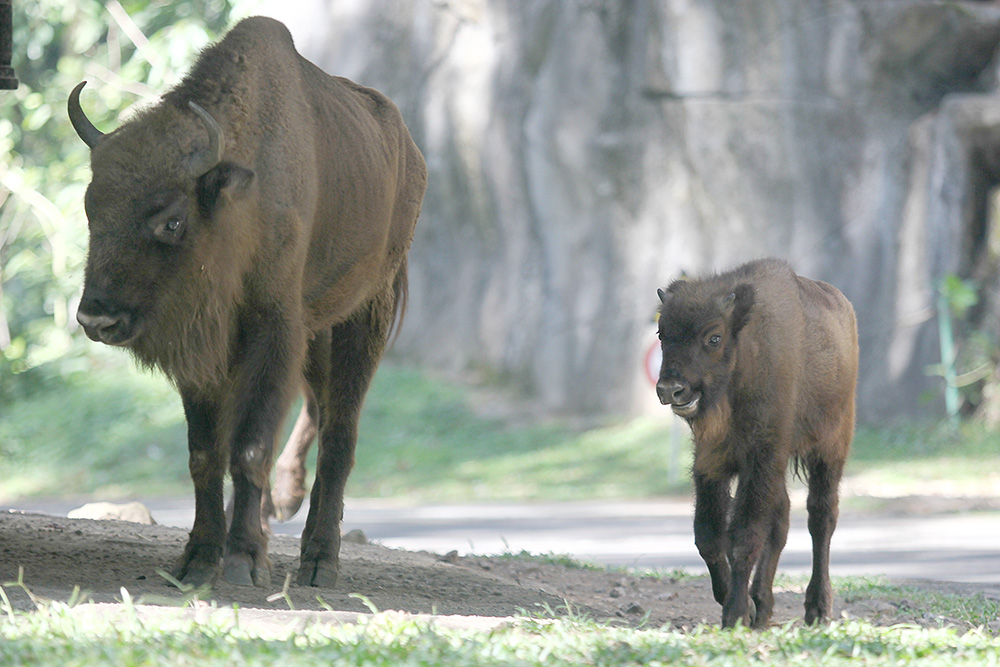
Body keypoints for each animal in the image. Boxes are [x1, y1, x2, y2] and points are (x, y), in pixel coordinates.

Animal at [68, 17, 428, 588]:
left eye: (172, 220)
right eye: (90, 208)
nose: (96, 316)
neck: (241, 198)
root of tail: (409, 151)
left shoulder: (272, 330)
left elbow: (249, 446)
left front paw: (241, 563)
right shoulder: (207, 352)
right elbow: (205, 453)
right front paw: (197, 560)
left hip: (367, 311)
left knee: (341, 432)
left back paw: (319, 561)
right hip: (318, 330)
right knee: (318, 410)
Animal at [656, 258, 860, 628]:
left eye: (714, 337)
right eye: (662, 334)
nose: (671, 389)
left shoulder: (762, 457)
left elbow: (744, 537)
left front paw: (736, 614)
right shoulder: (711, 461)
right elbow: (709, 537)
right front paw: (744, 607)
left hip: (831, 448)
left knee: (821, 518)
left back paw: (817, 609)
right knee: (782, 519)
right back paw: (763, 605)